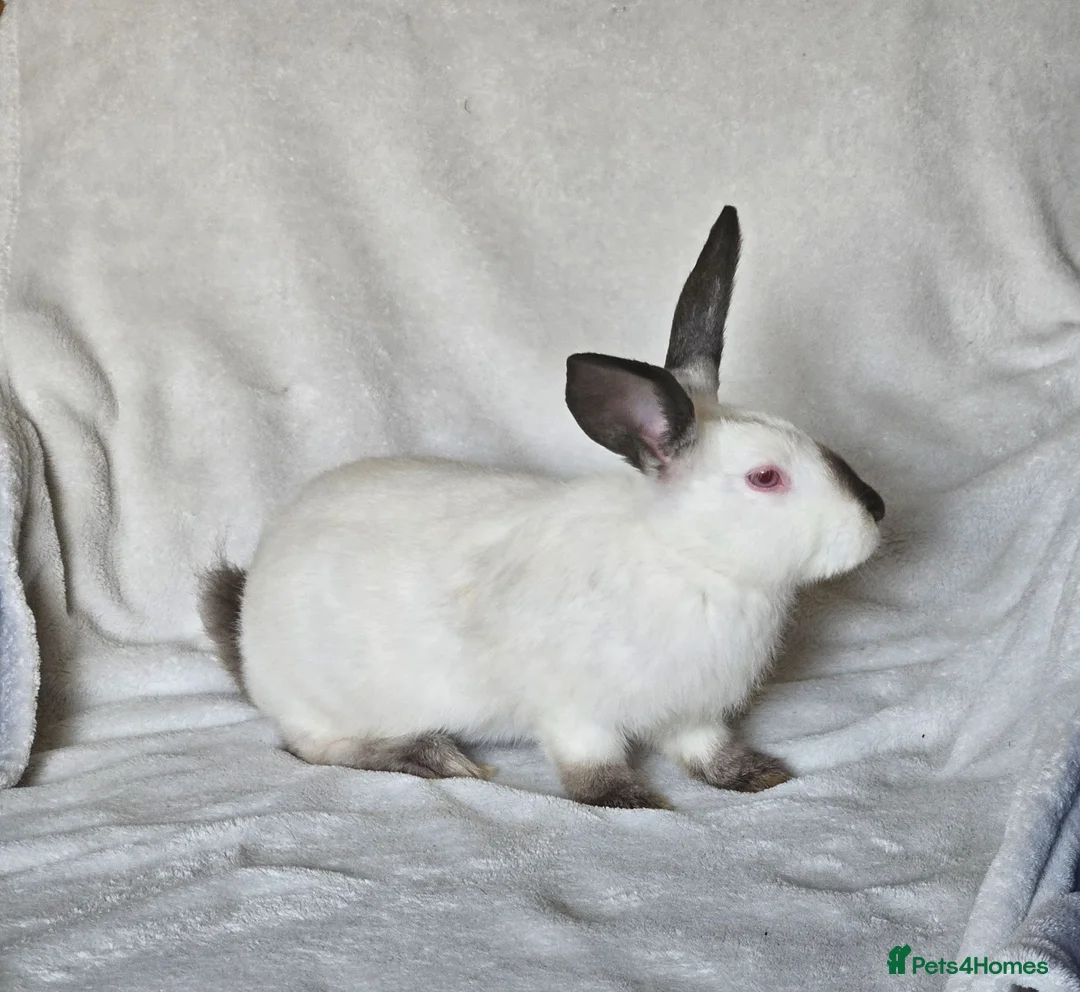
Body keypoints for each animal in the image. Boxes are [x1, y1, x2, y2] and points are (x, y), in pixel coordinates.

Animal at [200, 205, 885, 810]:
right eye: (766, 477)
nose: (874, 514)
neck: (690, 562)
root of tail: (250, 610)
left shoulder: (693, 711)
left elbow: (706, 749)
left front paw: (756, 775)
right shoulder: (575, 710)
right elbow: (591, 764)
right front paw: (634, 801)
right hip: (329, 702)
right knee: (315, 747)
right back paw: (431, 755)